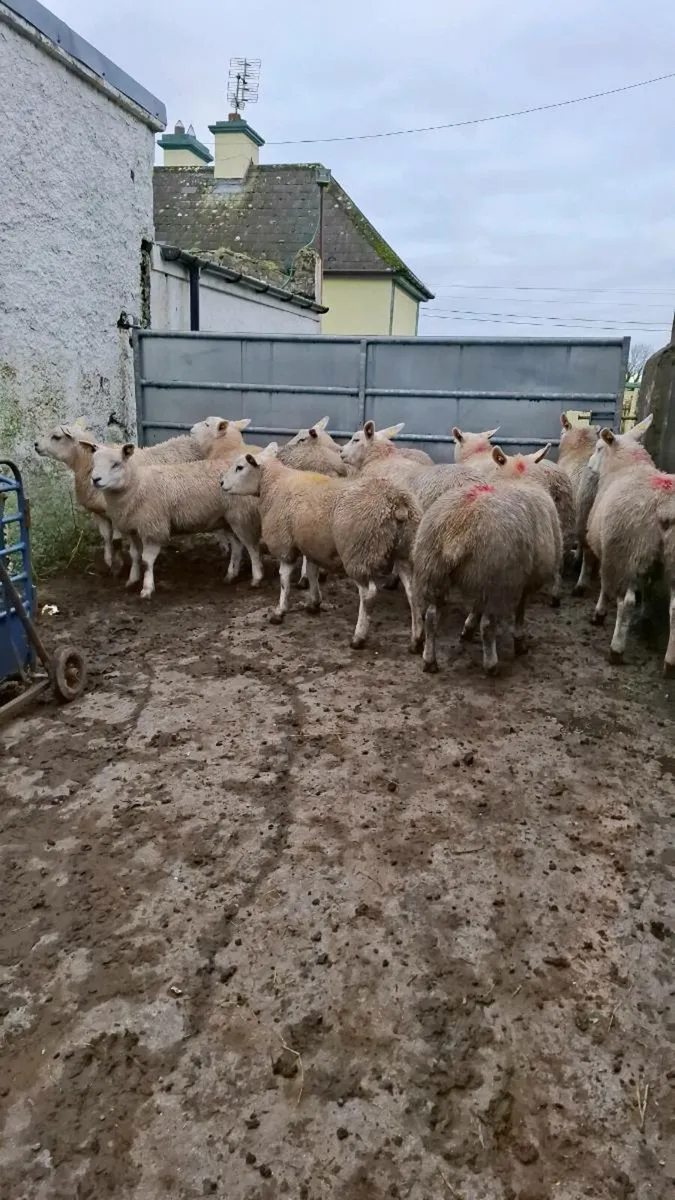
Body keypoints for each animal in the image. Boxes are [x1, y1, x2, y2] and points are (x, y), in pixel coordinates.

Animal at [90, 444, 229, 599]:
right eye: (94, 463)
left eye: (115, 464)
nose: (95, 479)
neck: (137, 485)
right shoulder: (132, 529)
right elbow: (135, 556)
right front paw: (132, 580)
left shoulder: (153, 529)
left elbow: (146, 561)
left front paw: (147, 588)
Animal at [220, 444, 422, 649]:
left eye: (240, 467)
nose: (221, 483)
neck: (274, 484)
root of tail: (396, 502)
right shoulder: (311, 544)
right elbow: (311, 571)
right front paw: (314, 602)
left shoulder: (285, 543)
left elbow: (284, 578)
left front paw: (280, 611)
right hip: (403, 551)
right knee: (412, 592)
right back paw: (416, 639)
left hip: (359, 551)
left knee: (368, 593)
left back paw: (359, 636)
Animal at [412, 477, 562, 675]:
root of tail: (457, 528)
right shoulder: (523, 582)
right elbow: (520, 611)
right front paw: (519, 642)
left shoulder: (482, 582)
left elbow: (477, 606)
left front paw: (467, 629)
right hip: (495, 579)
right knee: (488, 626)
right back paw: (491, 664)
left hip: (434, 572)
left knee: (431, 618)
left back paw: (429, 660)